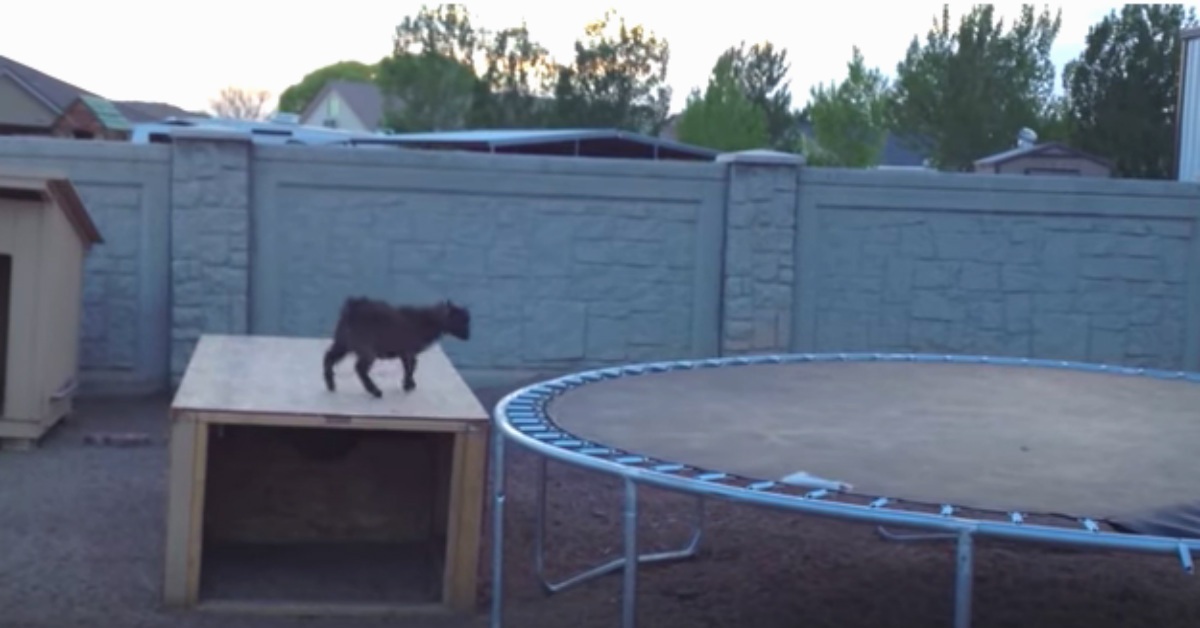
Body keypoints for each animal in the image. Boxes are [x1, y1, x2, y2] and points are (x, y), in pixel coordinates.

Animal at [321, 296, 470, 398]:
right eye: (461, 320)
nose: (468, 336)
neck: (427, 321)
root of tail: (351, 308)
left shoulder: (405, 352)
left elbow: (410, 366)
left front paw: (409, 383)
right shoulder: (408, 350)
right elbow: (411, 367)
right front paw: (408, 385)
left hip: (343, 343)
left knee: (329, 357)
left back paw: (330, 384)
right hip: (366, 348)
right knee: (359, 368)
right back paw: (375, 391)